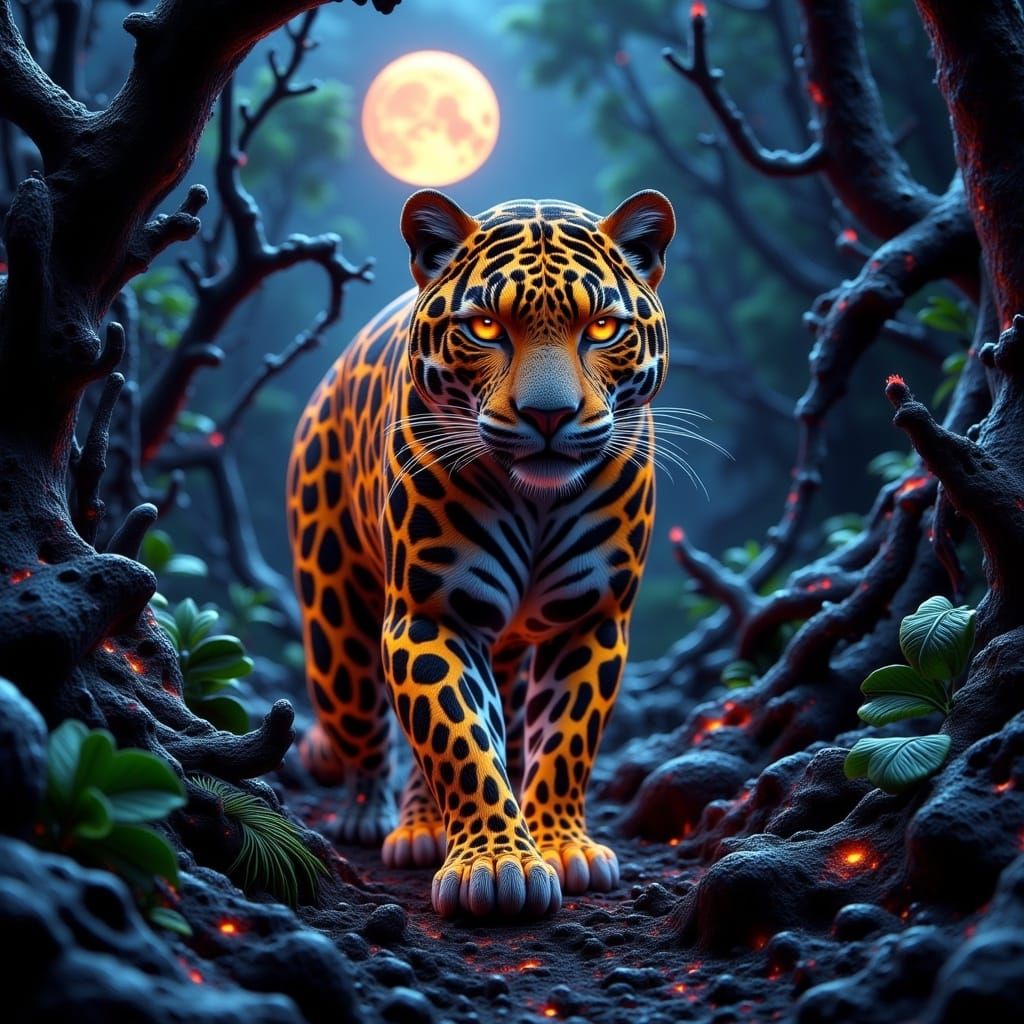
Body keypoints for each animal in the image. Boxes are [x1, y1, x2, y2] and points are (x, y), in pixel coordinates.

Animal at [287, 188, 675, 918]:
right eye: (487, 328)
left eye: (603, 328)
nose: (548, 415)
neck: (536, 500)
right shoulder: (433, 614)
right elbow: (458, 737)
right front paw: (495, 863)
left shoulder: (591, 617)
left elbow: (565, 737)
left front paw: (561, 845)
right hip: (335, 624)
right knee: (365, 724)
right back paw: (379, 817)